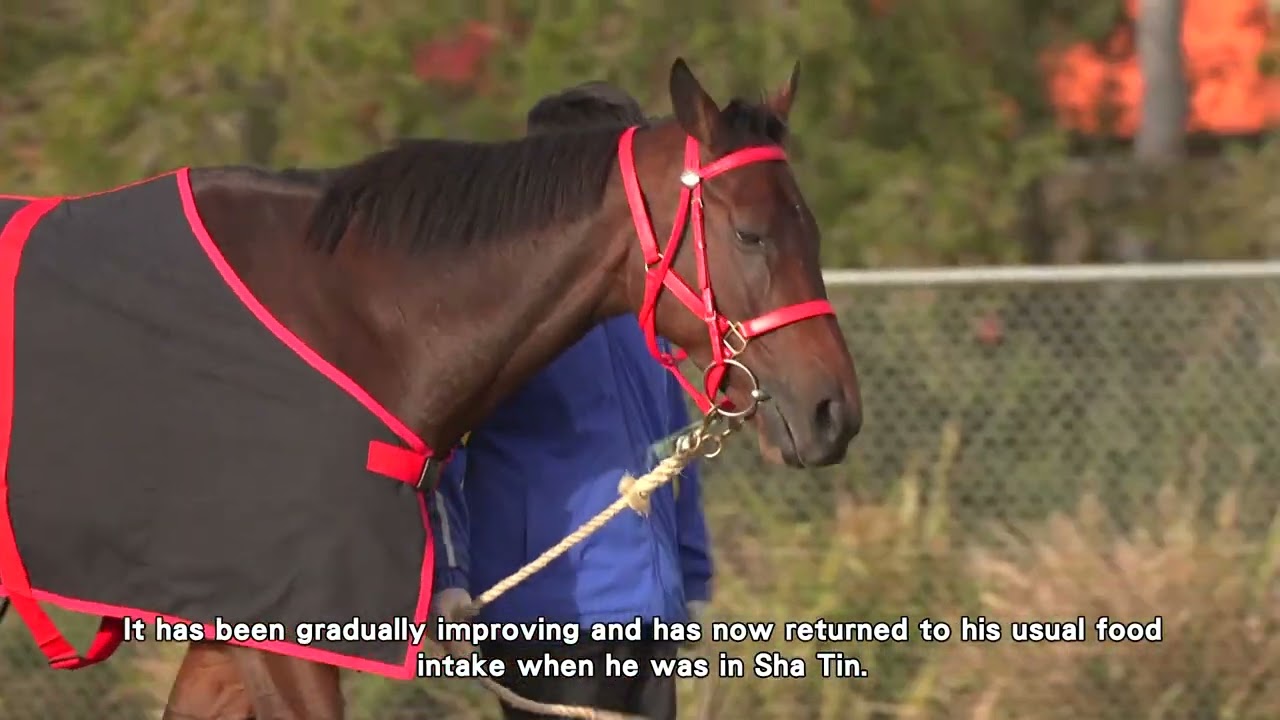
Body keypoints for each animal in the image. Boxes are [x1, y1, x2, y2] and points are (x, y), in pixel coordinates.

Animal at [0, 57, 860, 720]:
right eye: (749, 233)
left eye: (814, 228)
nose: (835, 412)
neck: (348, 313)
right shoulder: (285, 627)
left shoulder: (233, 625)